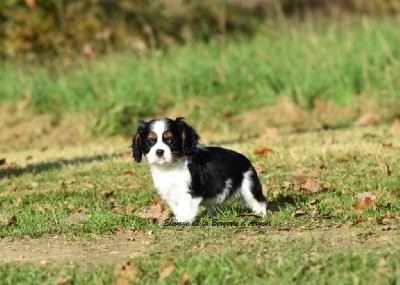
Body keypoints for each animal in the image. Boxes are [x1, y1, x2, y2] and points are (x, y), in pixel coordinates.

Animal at [132, 116, 268, 221]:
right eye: (150, 141)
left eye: (170, 140)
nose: (159, 151)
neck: (170, 166)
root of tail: (245, 159)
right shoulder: (170, 193)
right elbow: (177, 208)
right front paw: (179, 218)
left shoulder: (190, 192)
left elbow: (185, 207)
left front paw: (183, 221)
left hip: (249, 184)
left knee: (259, 201)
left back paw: (261, 215)